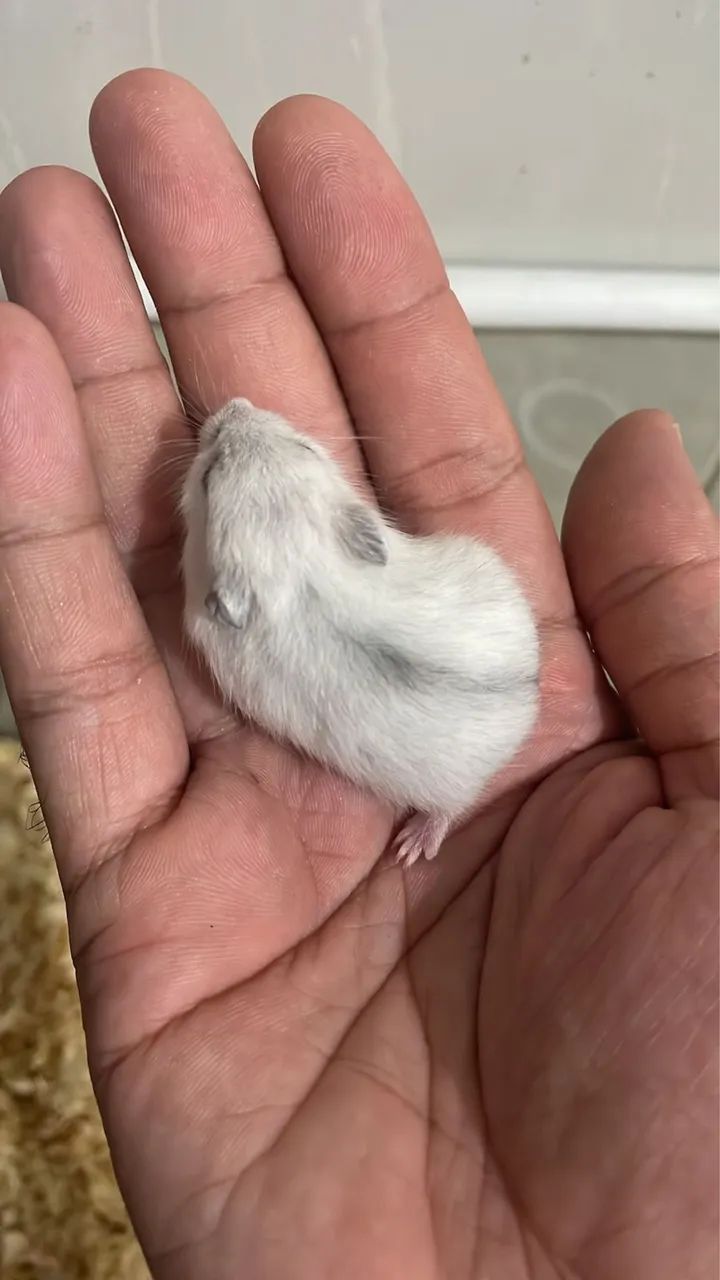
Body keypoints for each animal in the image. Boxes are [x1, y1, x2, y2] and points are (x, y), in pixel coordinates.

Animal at [181, 398, 539, 866]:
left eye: (304, 447)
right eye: (209, 475)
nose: (236, 403)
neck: (306, 574)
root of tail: (530, 689)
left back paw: (410, 849)